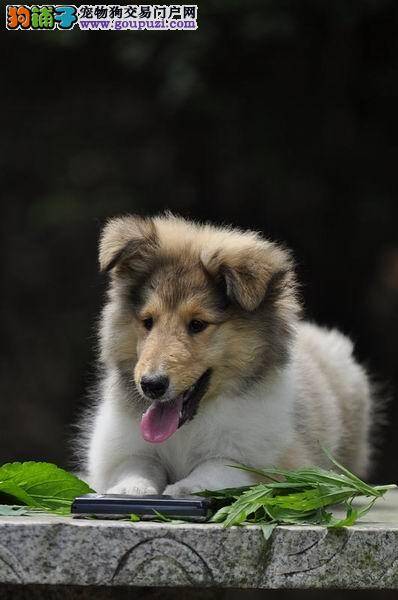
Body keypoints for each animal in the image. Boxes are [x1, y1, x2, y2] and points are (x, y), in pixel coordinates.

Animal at [82, 213, 372, 494]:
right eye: (148, 321)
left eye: (197, 324)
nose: (151, 385)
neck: (188, 428)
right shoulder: (120, 450)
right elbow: (137, 464)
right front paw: (130, 488)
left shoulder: (273, 459)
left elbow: (219, 465)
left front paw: (186, 487)